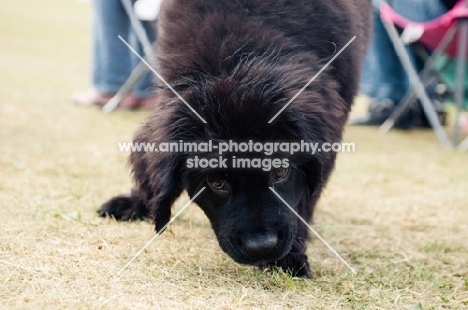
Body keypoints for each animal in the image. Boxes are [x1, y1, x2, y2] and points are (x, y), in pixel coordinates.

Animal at [100, 0, 372, 278]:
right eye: (217, 183)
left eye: (280, 173)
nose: (262, 247)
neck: (239, 57)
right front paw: (139, 202)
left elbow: (305, 198)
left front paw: (291, 257)